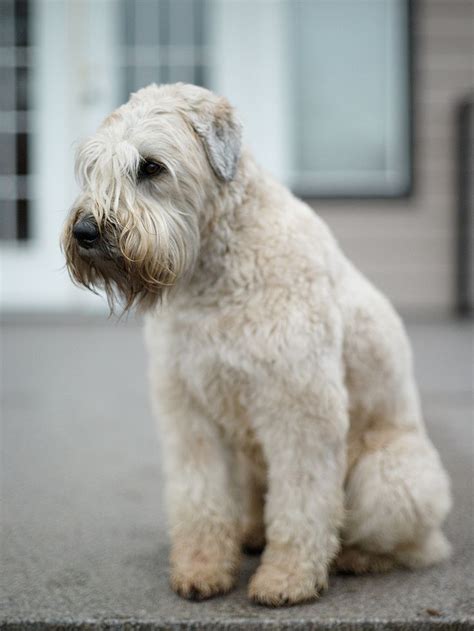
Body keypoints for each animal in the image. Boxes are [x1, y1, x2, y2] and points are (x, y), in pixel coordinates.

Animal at [62, 84, 452, 608]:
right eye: (93, 166)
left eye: (151, 167)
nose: (85, 232)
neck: (215, 271)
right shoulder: (189, 411)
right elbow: (200, 497)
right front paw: (201, 568)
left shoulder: (300, 408)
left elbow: (302, 503)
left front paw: (286, 579)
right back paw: (250, 534)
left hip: (391, 474)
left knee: (412, 542)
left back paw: (356, 557)